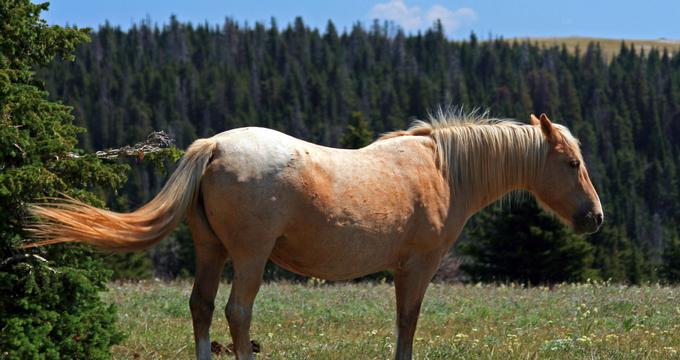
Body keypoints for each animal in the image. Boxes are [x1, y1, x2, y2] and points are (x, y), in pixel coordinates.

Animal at [26, 112, 604, 360]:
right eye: (572, 163)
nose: (595, 218)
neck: (442, 170)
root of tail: (215, 145)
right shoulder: (417, 266)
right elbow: (408, 324)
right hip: (250, 256)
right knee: (237, 311)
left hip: (211, 251)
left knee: (202, 307)